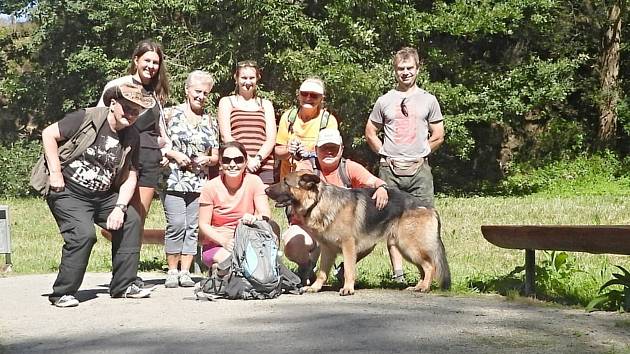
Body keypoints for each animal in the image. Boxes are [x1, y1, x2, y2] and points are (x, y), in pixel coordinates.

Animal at [264, 171, 452, 296]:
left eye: (285, 182)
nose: (265, 191)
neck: (319, 201)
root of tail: (430, 208)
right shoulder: (327, 249)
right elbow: (322, 272)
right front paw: (315, 287)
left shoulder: (348, 245)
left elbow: (348, 268)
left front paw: (348, 288)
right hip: (405, 248)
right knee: (424, 267)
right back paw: (418, 286)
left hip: (409, 246)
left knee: (430, 266)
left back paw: (424, 287)